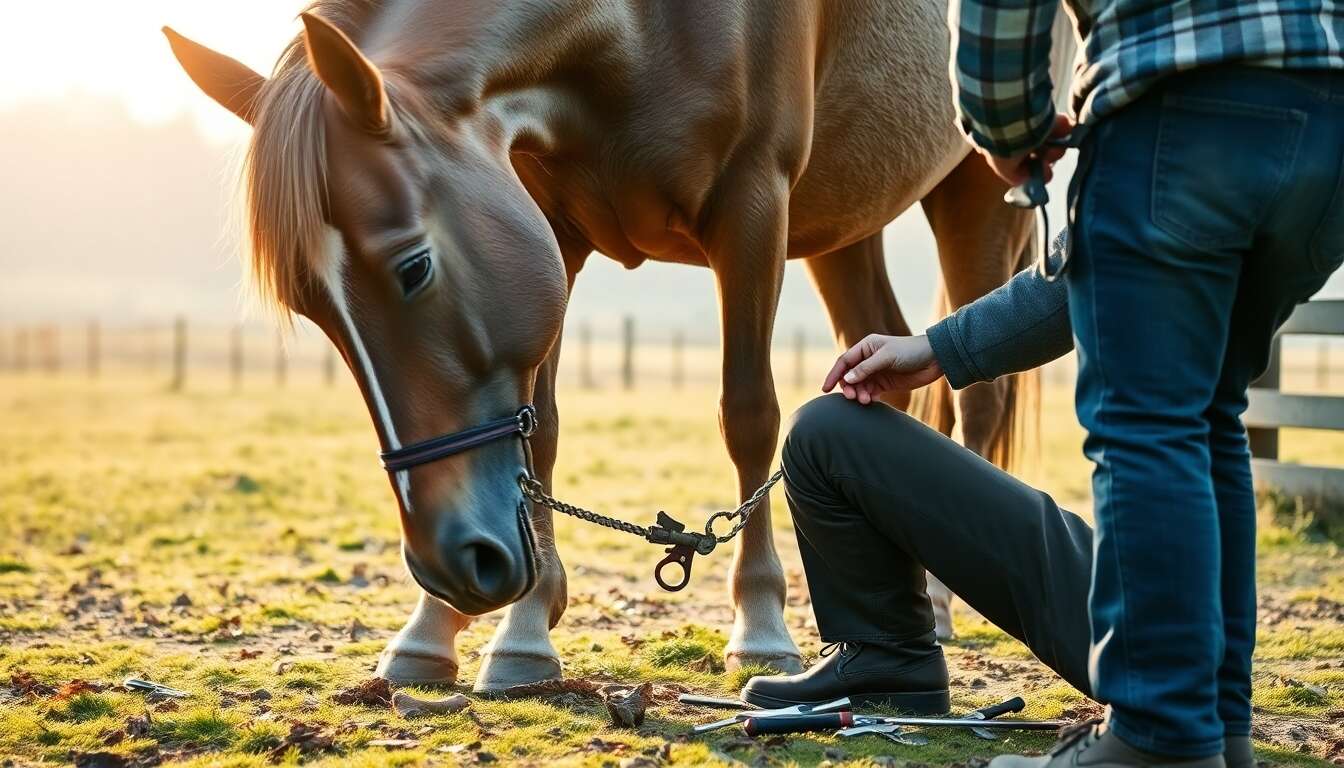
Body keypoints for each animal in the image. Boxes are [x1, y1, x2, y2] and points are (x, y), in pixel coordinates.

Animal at [165, 0, 1071, 691]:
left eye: (413, 267)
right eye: (312, 308)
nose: (451, 564)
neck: (633, 32)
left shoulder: (753, 209)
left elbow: (749, 414)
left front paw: (762, 624)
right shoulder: (548, 223)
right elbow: (539, 431)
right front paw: (497, 630)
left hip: (980, 187)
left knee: (977, 394)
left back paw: (942, 601)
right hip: (846, 219)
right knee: (884, 355)